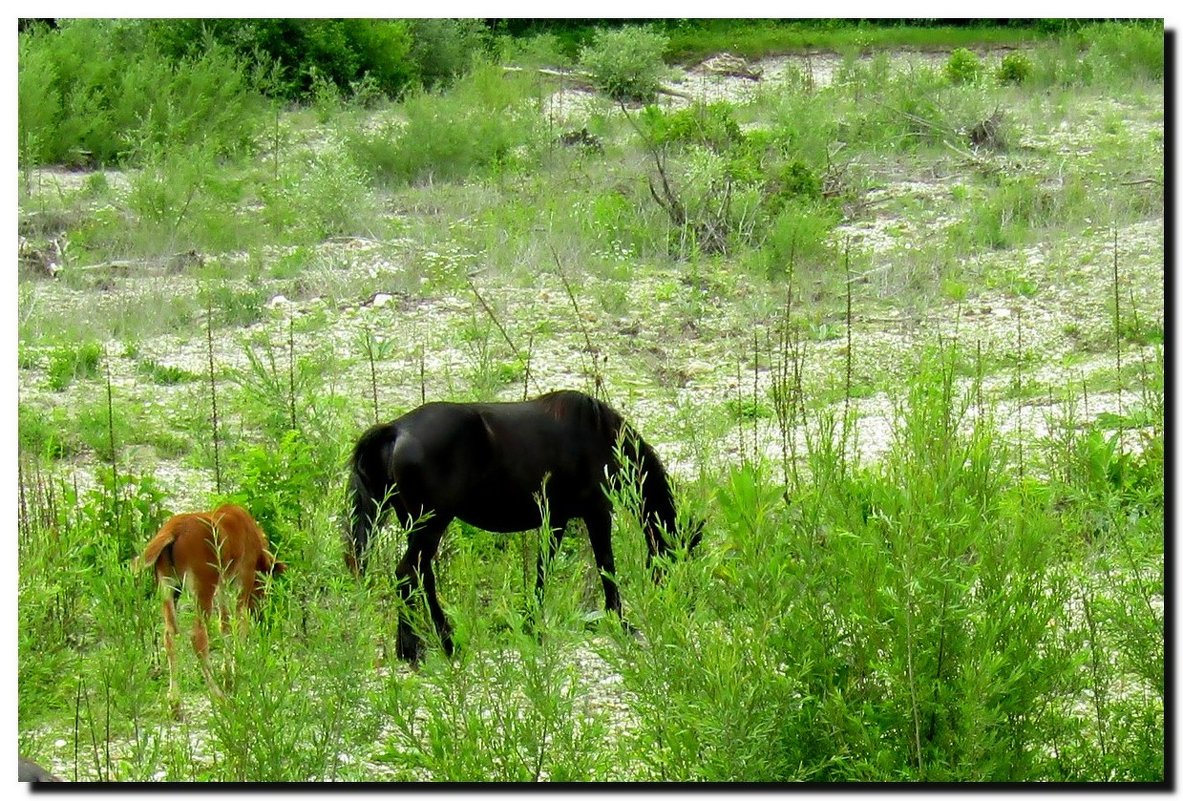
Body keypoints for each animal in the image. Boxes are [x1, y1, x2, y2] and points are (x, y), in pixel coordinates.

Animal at [345, 390, 700, 657]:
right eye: (680, 553)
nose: (685, 604)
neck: (597, 435)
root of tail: (395, 429)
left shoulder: (557, 519)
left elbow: (545, 567)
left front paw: (533, 623)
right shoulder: (597, 513)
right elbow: (605, 567)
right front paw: (621, 622)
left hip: (416, 525)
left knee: (418, 575)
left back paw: (421, 644)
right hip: (430, 524)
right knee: (408, 573)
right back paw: (428, 646)